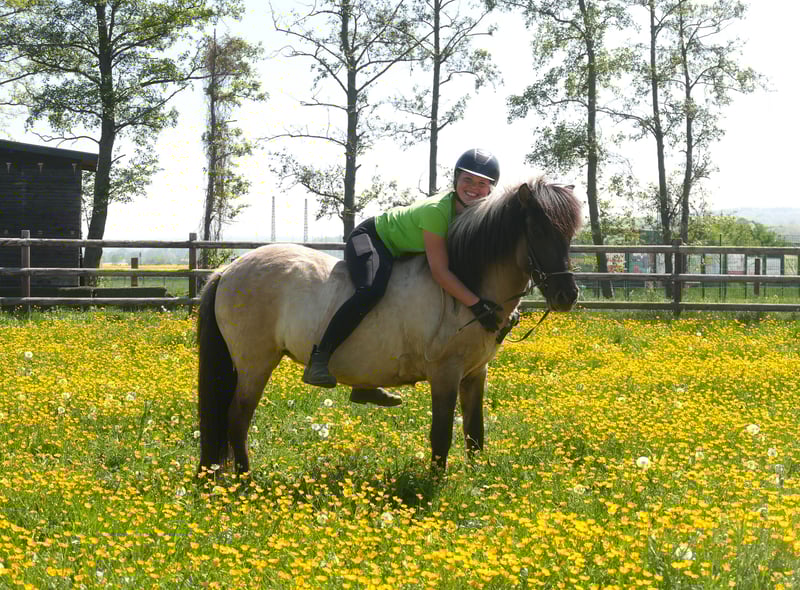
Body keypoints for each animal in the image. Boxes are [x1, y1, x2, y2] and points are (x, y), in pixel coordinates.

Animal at [197, 177, 582, 474]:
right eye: (537, 230)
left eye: (569, 233)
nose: (567, 295)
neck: (467, 289)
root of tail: (227, 270)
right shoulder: (445, 374)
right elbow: (441, 434)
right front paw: (435, 486)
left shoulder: (475, 374)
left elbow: (475, 433)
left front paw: (479, 481)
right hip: (255, 364)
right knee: (237, 418)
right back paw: (246, 481)